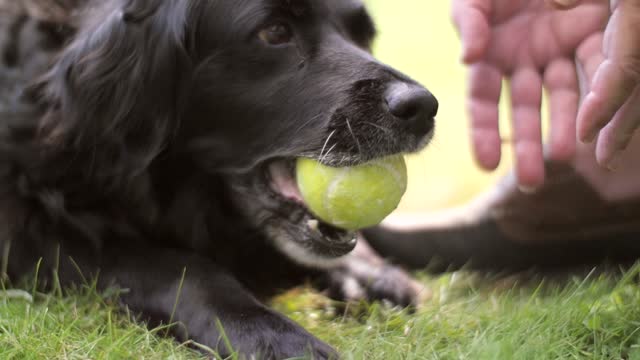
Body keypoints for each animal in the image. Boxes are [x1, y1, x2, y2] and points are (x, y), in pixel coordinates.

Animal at [0, 1, 436, 358]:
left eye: (363, 34)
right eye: (274, 32)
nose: (422, 108)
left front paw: (365, 275)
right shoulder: (30, 231)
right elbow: (177, 267)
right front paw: (268, 333)